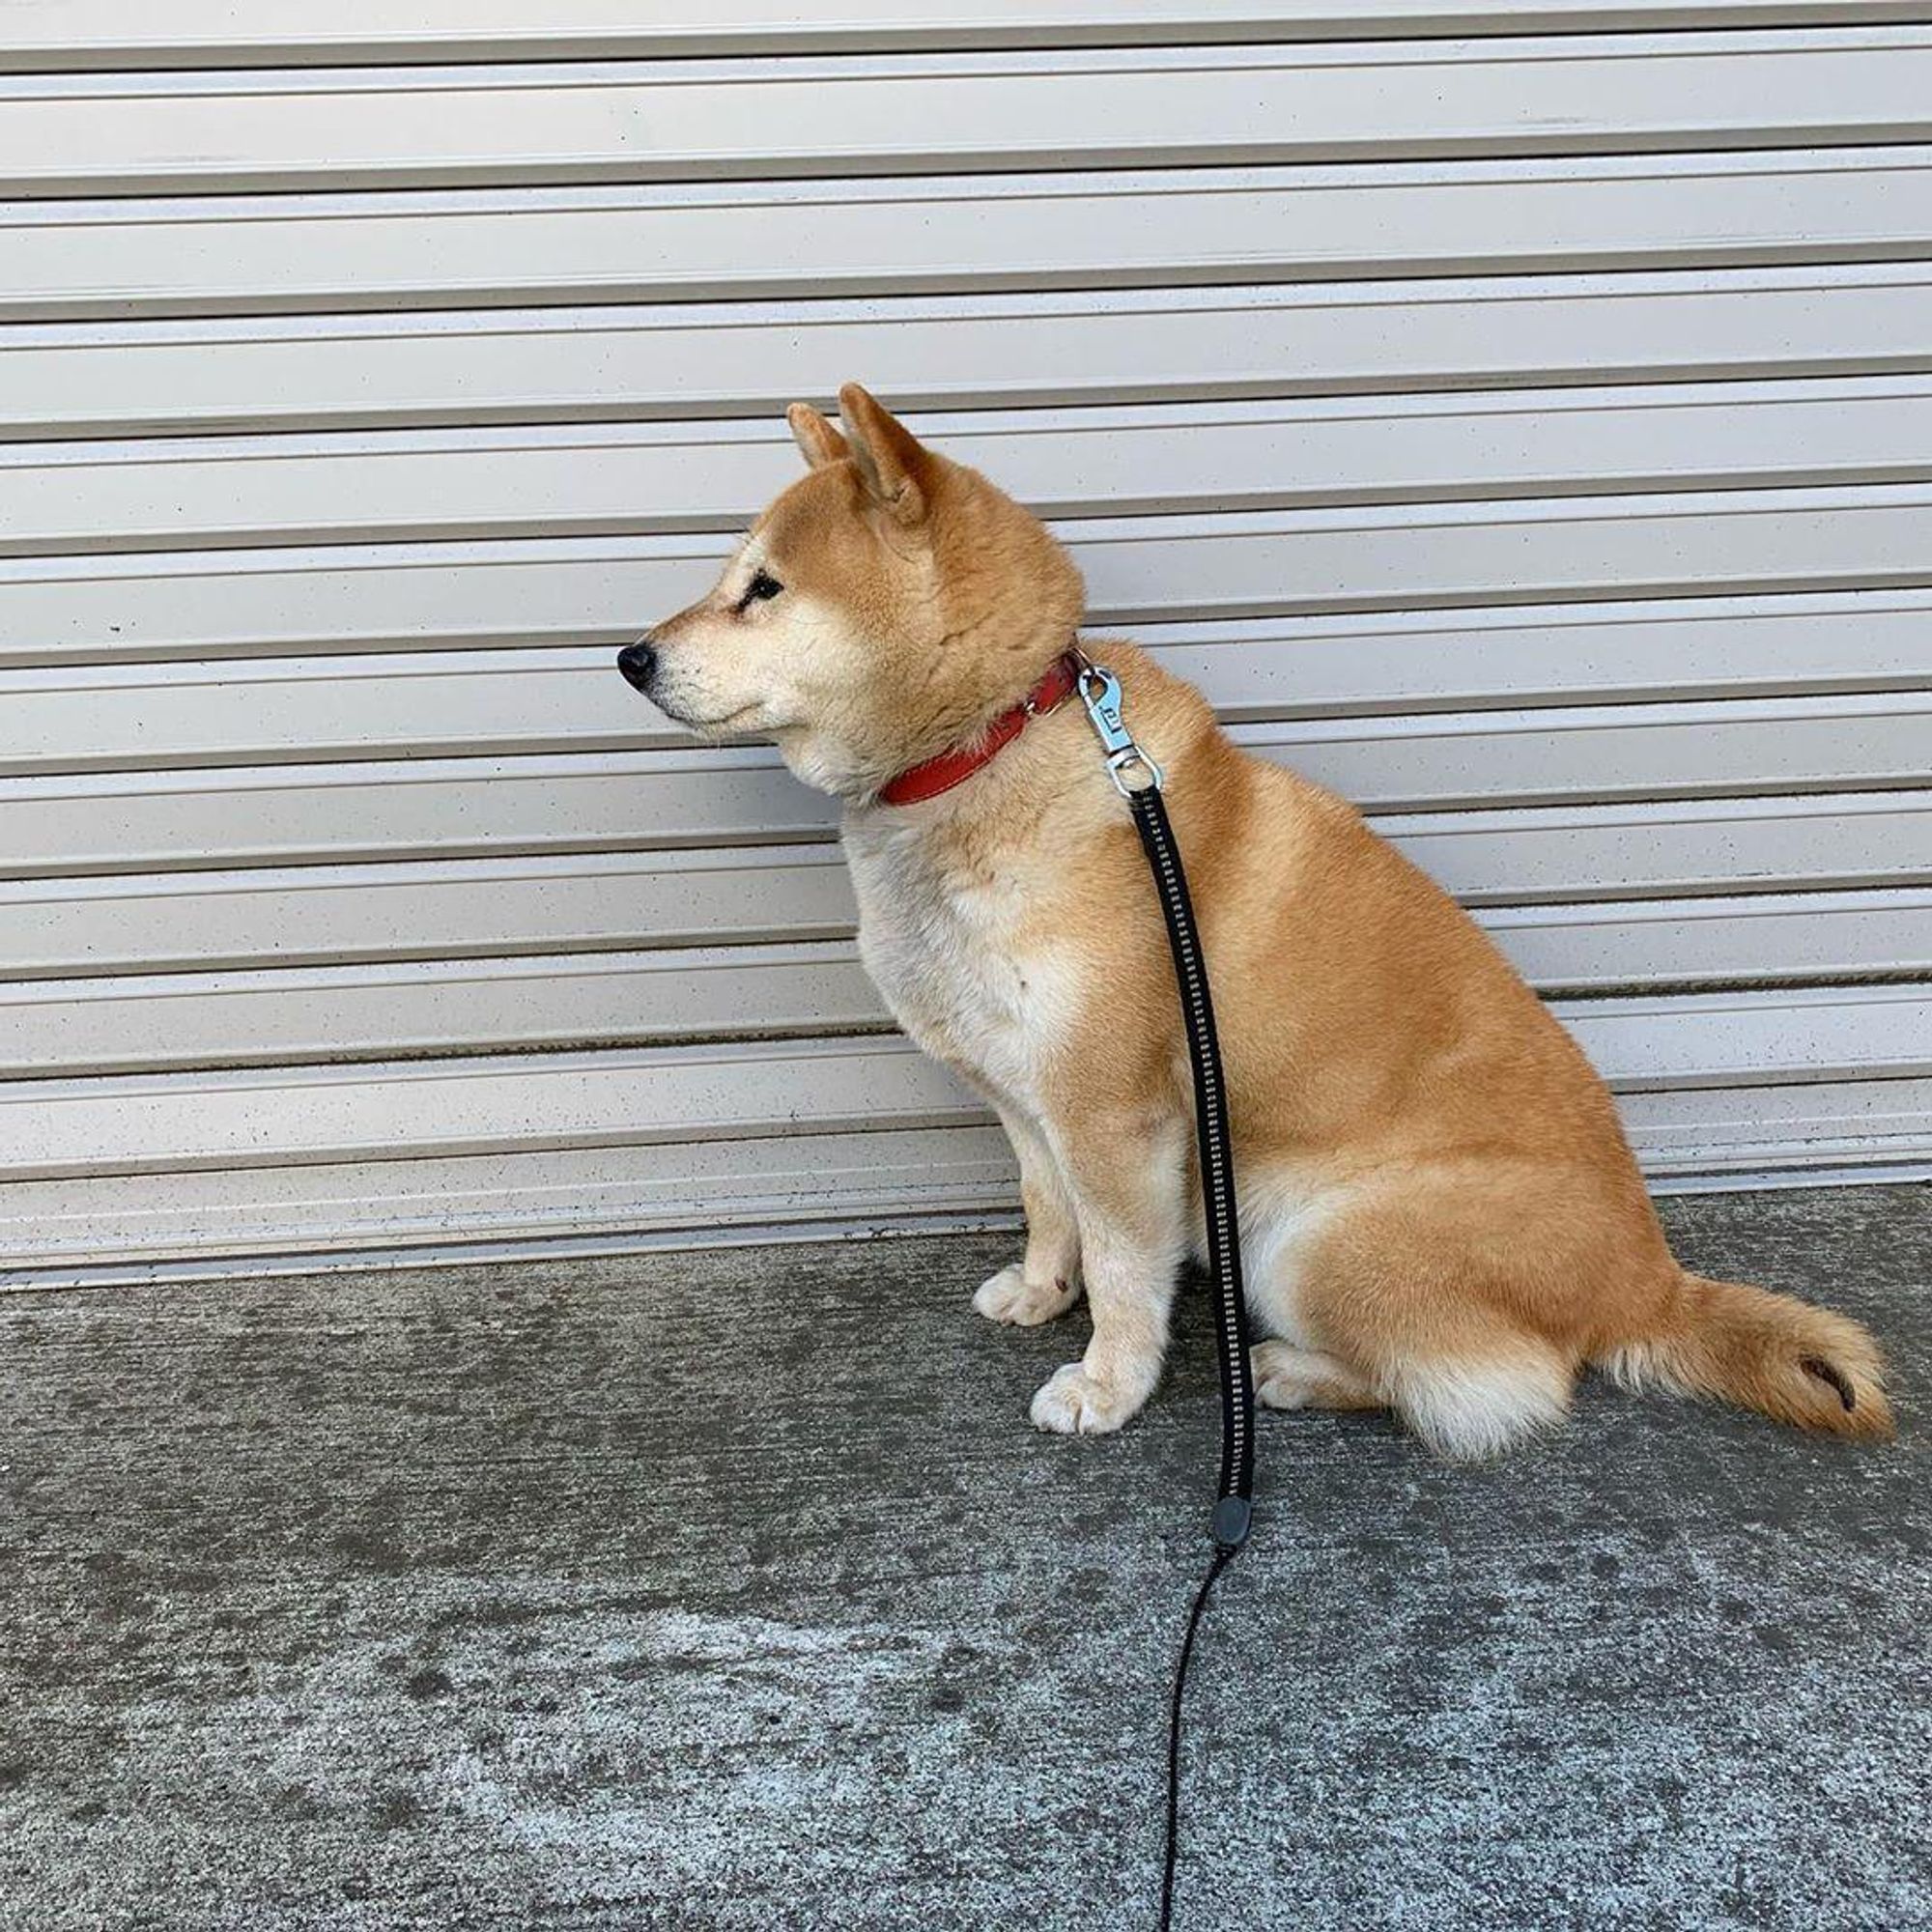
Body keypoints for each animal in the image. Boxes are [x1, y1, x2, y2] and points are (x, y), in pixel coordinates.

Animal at [618, 384, 1886, 1453]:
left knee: (1493, 1387)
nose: (629, 655)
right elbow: (1045, 1209)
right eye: (732, 575)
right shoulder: (1023, 1092)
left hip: (1307, 1231)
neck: (983, 749)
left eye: (763, 586)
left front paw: (1105, 1383)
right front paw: (1039, 1290)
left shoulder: (1115, 1113)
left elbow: (1125, 1269)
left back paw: (1289, 1371)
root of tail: (1646, 1279)